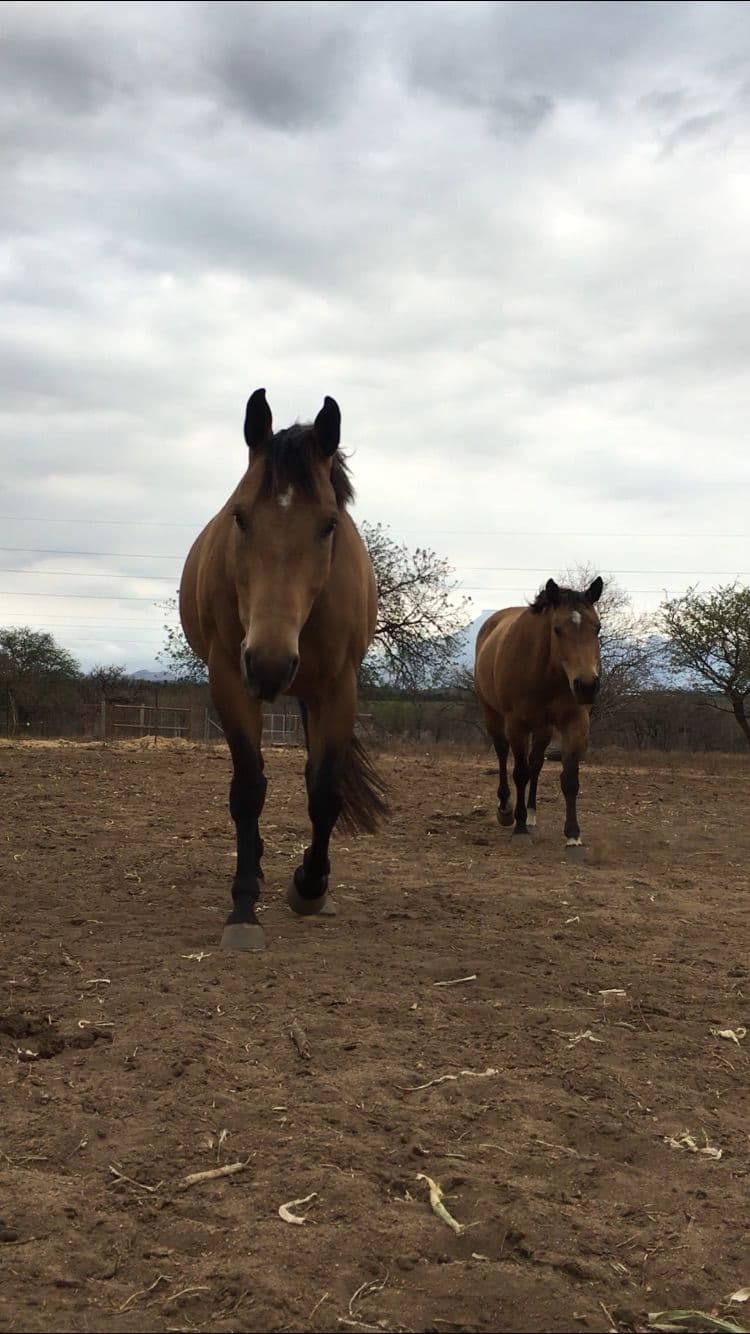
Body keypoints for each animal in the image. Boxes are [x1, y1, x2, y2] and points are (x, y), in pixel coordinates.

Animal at [179, 388, 389, 950]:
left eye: (329, 524)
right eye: (240, 516)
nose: (270, 662)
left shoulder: (337, 691)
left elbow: (324, 792)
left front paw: (310, 887)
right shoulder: (232, 681)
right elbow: (249, 790)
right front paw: (243, 908)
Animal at [474, 577, 603, 853]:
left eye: (597, 628)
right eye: (557, 629)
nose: (587, 686)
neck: (548, 671)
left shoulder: (575, 723)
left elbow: (569, 779)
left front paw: (573, 836)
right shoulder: (516, 724)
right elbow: (519, 773)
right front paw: (519, 828)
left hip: (543, 728)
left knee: (536, 763)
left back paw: (532, 816)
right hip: (493, 714)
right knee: (503, 754)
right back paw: (506, 811)